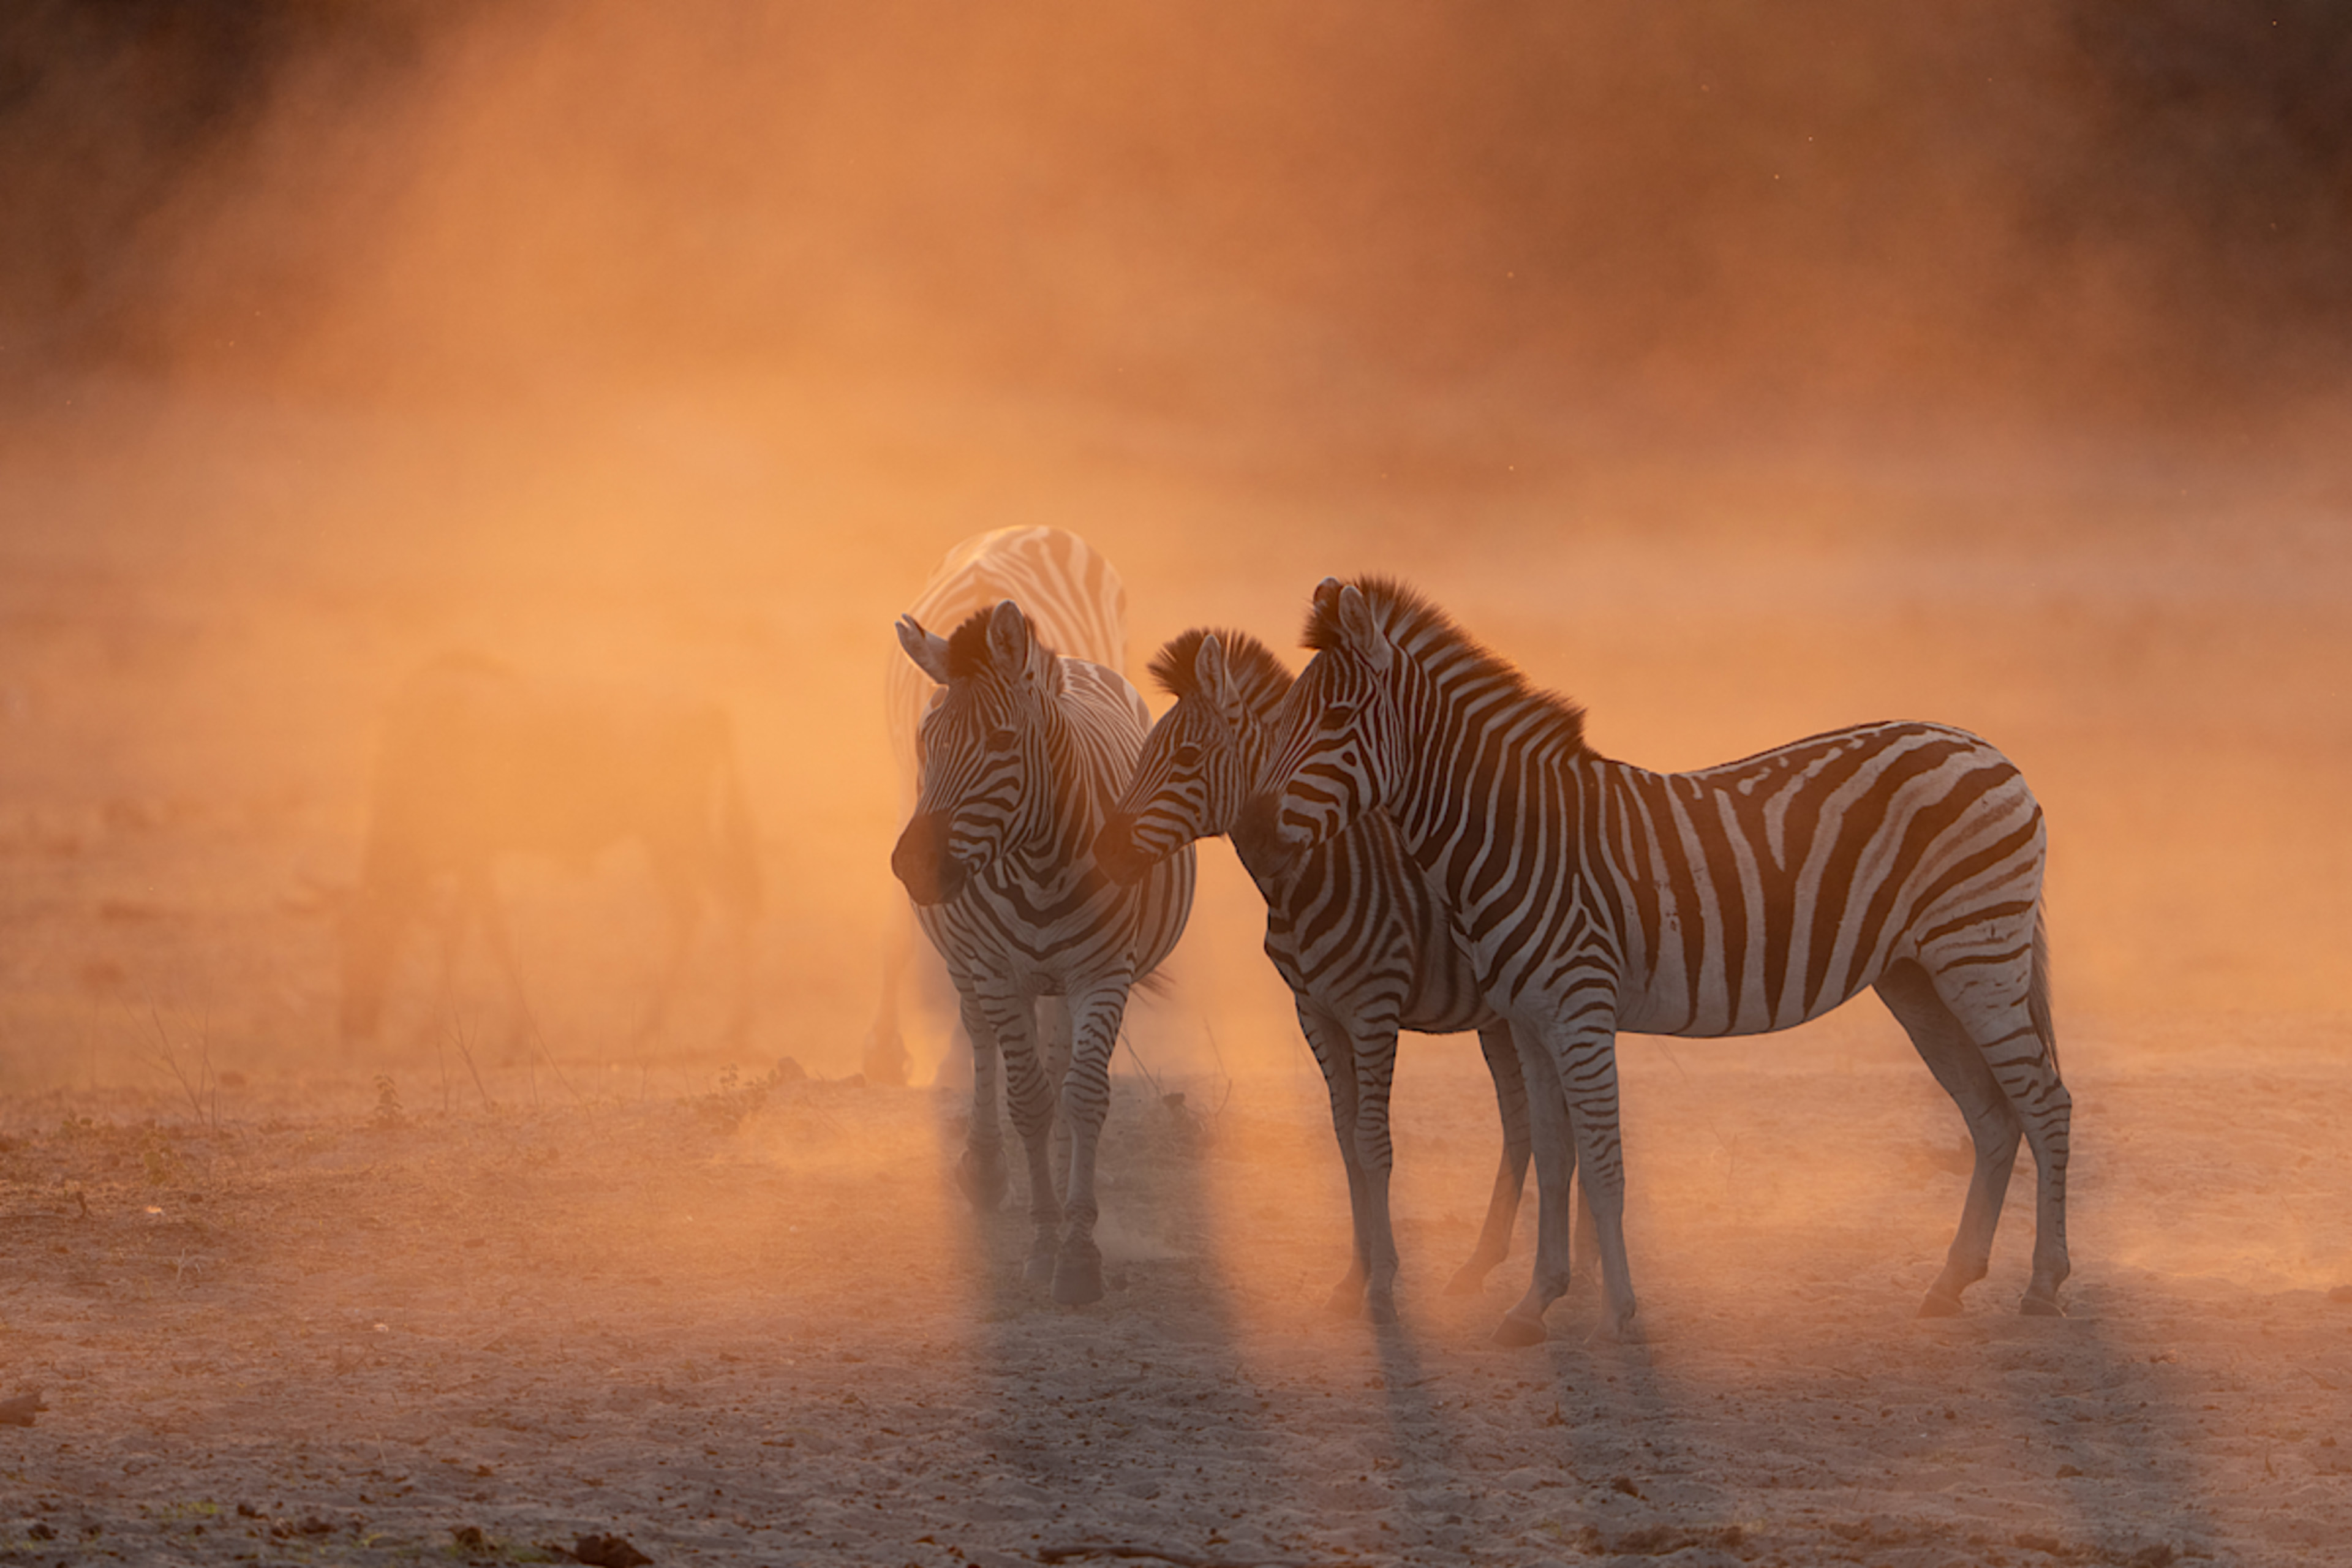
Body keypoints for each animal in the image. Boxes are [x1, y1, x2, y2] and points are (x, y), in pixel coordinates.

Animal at [871, 527, 1131, 1087]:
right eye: (927, 740)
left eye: (1004, 740)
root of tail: (1037, 526)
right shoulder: (913, 795)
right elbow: (902, 933)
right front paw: (886, 1051)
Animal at [893, 596, 1196, 1305]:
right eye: (927, 740)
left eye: (1003, 743)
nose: (912, 866)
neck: (1041, 862)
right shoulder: (998, 973)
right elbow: (1025, 1098)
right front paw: (1042, 1237)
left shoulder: (1102, 973)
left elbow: (1085, 1096)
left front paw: (1079, 1250)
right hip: (969, 962)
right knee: (981, 1041)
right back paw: (986, 1170)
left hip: (1062, 978)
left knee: (1061, 1066)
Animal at [1095, 627, 1589, 1327]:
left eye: (1187, 758)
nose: (1103, 850)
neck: (1310, 876)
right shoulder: (1317, 1013)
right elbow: (1344, 1141)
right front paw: (1353, 1278)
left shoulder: (1371, 1010)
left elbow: (1372, 1140)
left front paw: (1382, 1286)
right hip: (1501, 1018)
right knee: (1526, 1124)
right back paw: (1483, 1265)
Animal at [1241, 576, 2071, 1344]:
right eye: (1283, 721)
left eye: (1338, 720)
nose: (1254, 828)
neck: (1514, 834)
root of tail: (1985, 748)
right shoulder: (1531, 1021)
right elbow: (1555, 1157)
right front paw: (1536, 1302)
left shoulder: (1580, 1010)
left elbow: (1604, 1163)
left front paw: (1618, 1313)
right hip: (1917, 979)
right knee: (1992, 1115)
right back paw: (1951, 1281)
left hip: (1979, 954)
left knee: (2044, 1101)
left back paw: (2044, 1284)